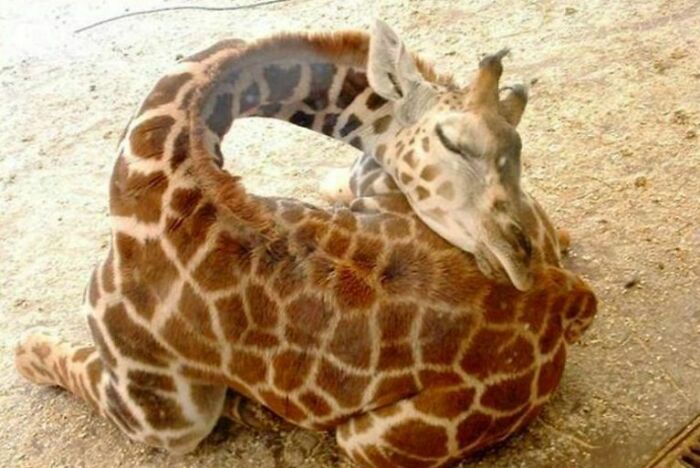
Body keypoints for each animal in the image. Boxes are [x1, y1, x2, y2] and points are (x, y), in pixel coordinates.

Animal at [15, 22, 597, 467]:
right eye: (451, 141)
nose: (519, 258)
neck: (162, 169)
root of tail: (567, 301)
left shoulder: (158, 408)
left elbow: (61, 359)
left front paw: (24, 347)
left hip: (365, 442)